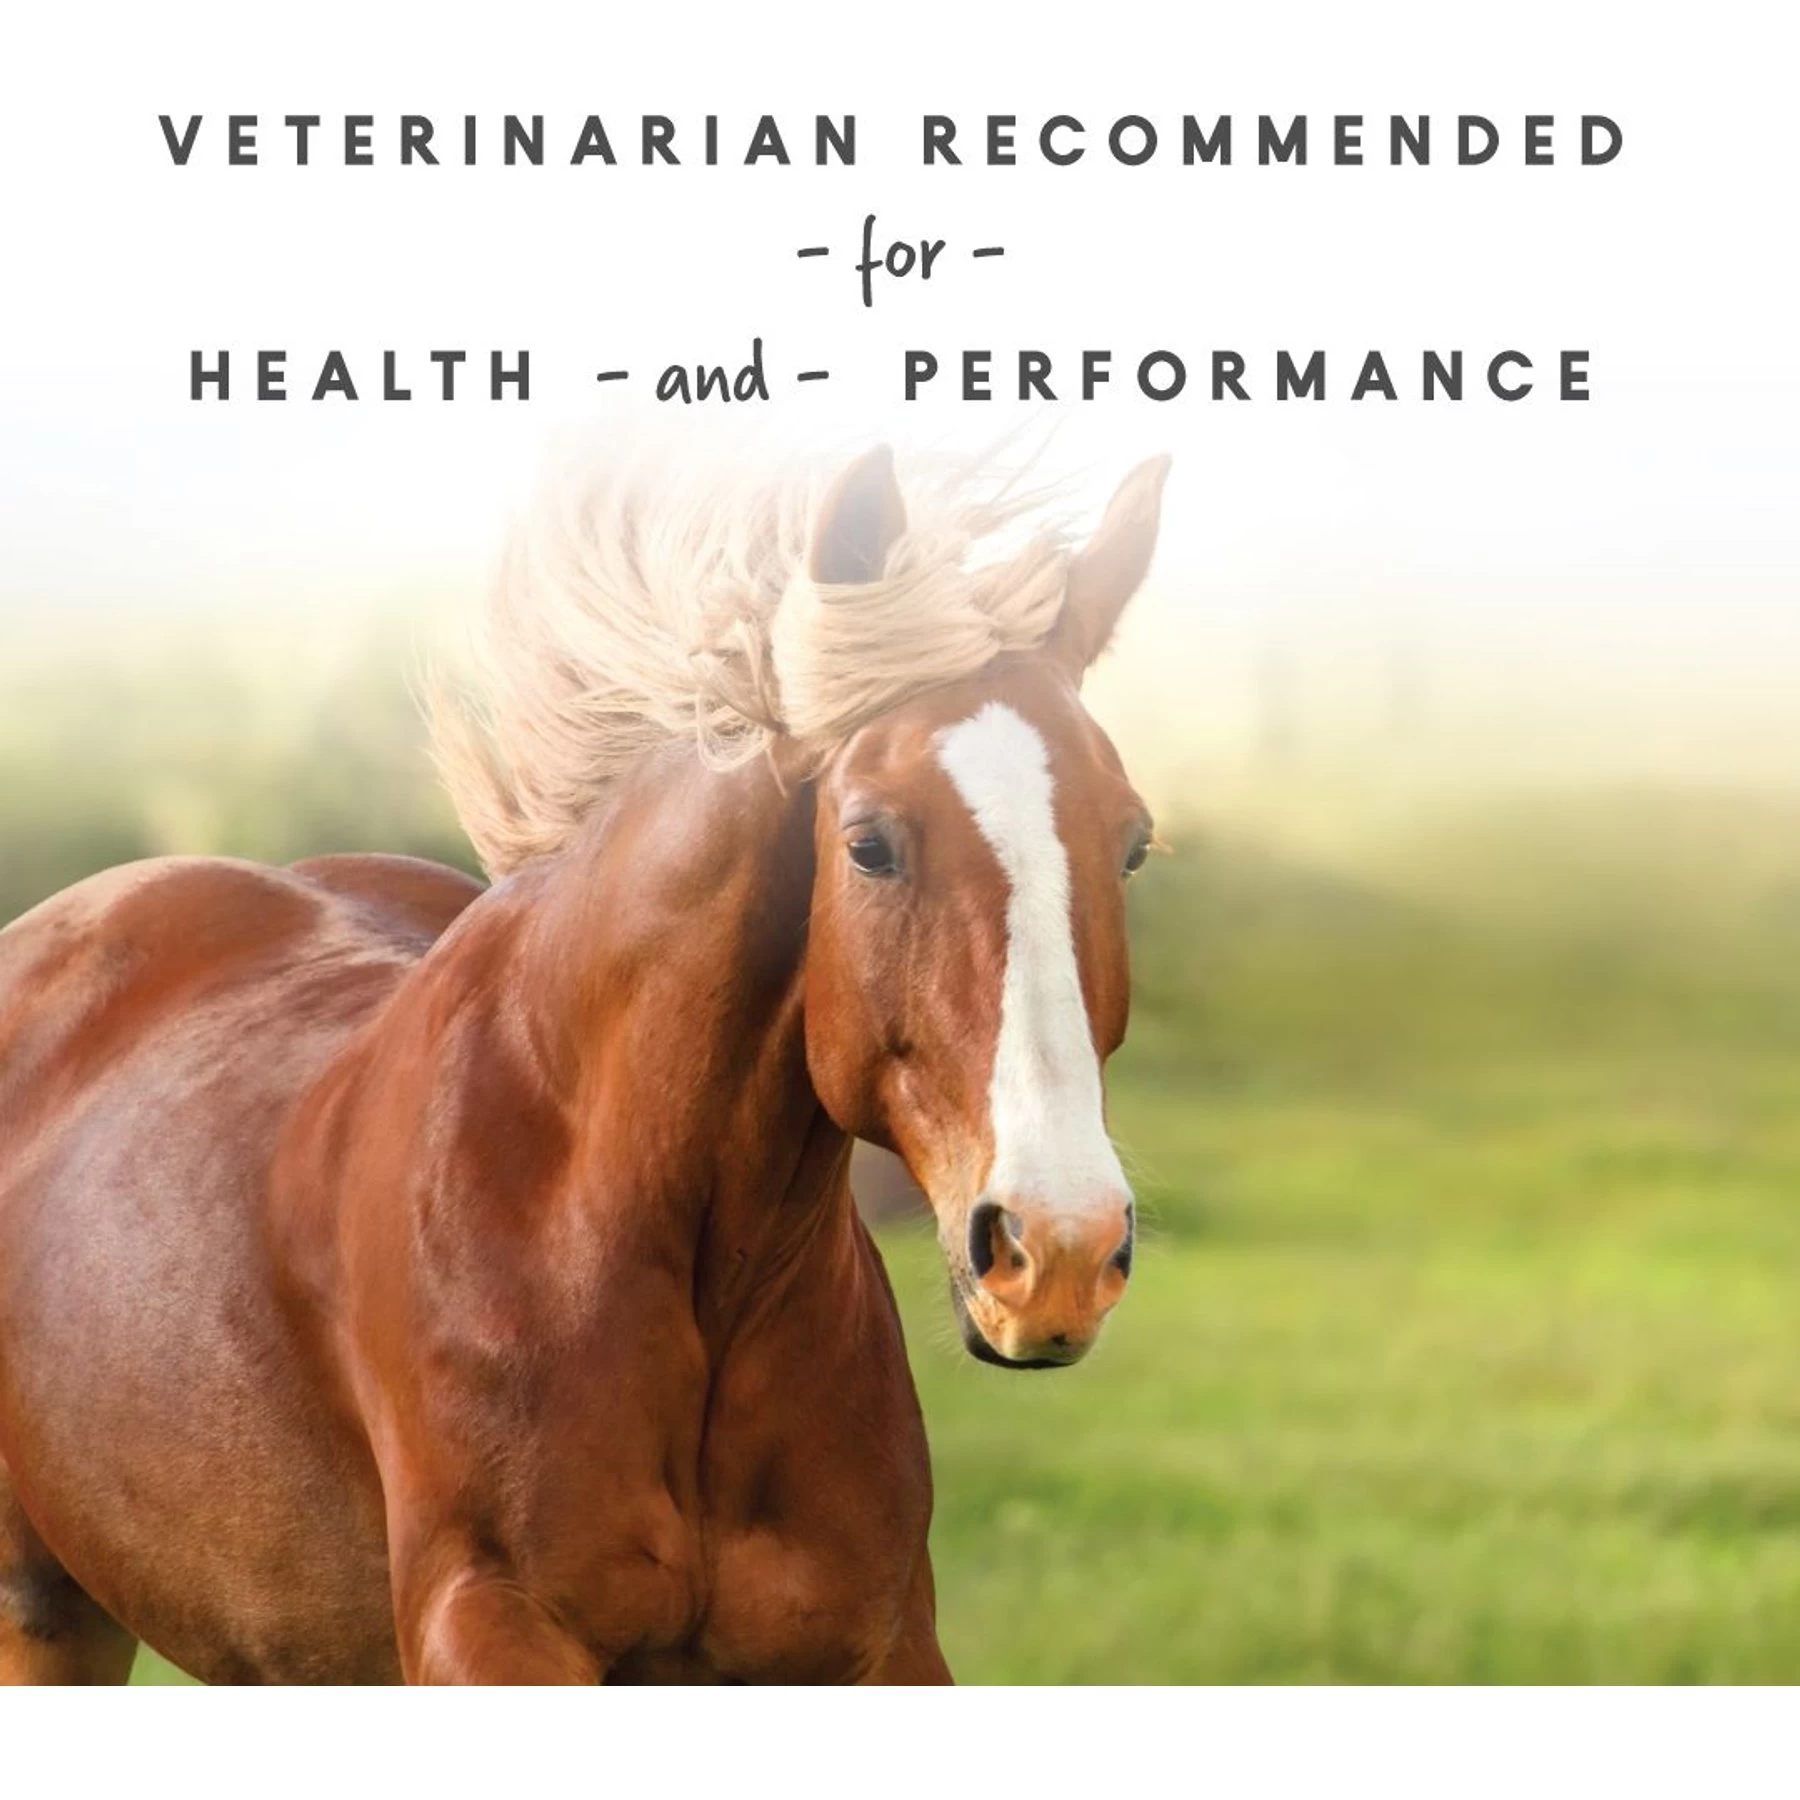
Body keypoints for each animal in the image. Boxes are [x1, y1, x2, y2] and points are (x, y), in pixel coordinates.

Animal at [0, 442, 1169, 1683]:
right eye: (869, 844)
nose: (1059, 1251)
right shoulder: (488, 1625)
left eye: (1133, 844)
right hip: (45, 1615)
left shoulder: (883, 1641)